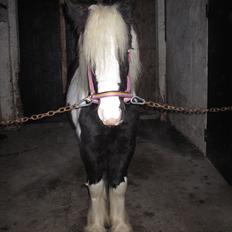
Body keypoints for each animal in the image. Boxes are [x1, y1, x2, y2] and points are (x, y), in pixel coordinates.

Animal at [65, 0, 141, 231]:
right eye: (90, 59)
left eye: (125, 51)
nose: (111, 115)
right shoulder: (90, 146)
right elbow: (97, 187)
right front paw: (97, 224)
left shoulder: (126, 144)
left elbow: (118, 185)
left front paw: (119, 224)